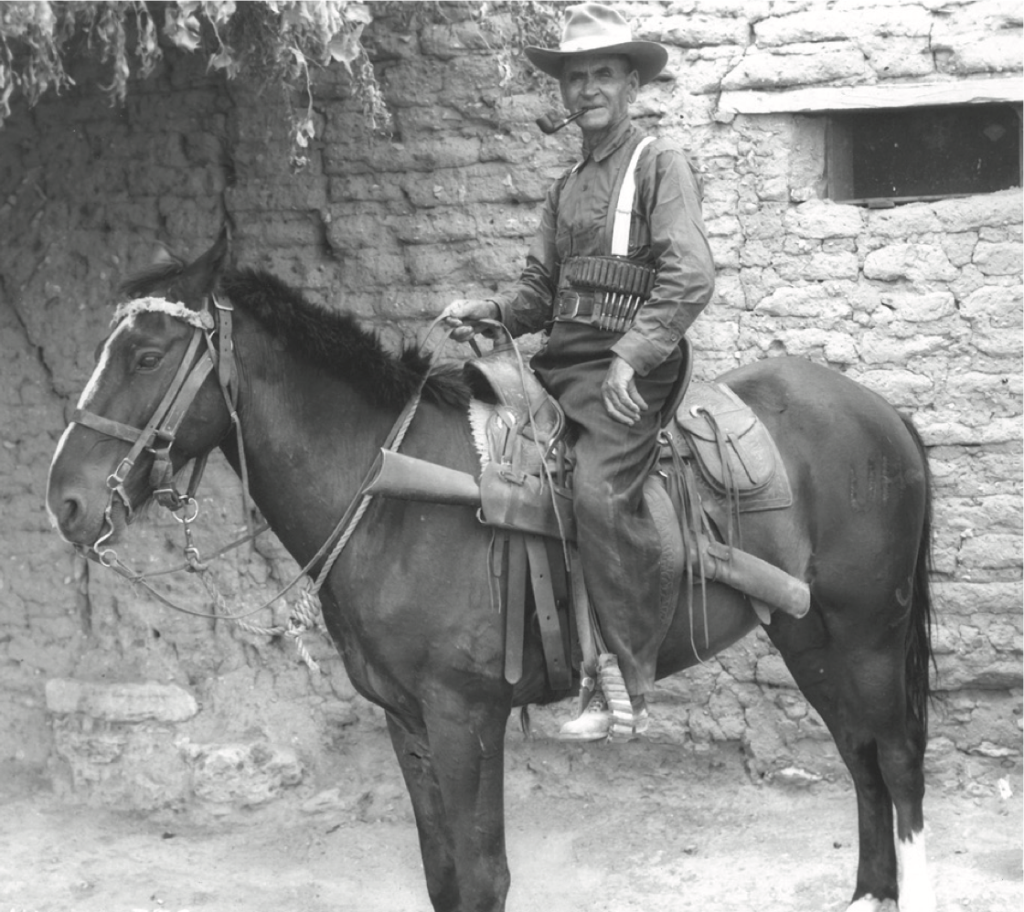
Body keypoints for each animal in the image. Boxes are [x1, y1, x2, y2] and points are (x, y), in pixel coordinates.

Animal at [46, 234, 936, 912]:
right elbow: (446, 878)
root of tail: (878, 411)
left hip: (867, 634)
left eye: (148, 355)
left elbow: (483, 877)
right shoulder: (406, 720)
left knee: (895, 761)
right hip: (807, 635)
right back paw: (870, 893)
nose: (66, 501)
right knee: (859, 758)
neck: (392, 492)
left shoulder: (465, 715)